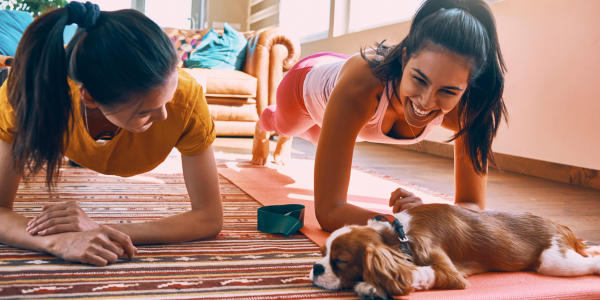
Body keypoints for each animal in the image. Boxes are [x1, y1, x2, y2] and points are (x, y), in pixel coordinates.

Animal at [310, 203, 600, 298]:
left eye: (340, 261)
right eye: (322, 253)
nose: (316, 267)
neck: (401, 235)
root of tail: (561, 225)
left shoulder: (449, 274)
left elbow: (417, 273)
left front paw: (372, 286)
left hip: (555, 261)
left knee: (589, 260)